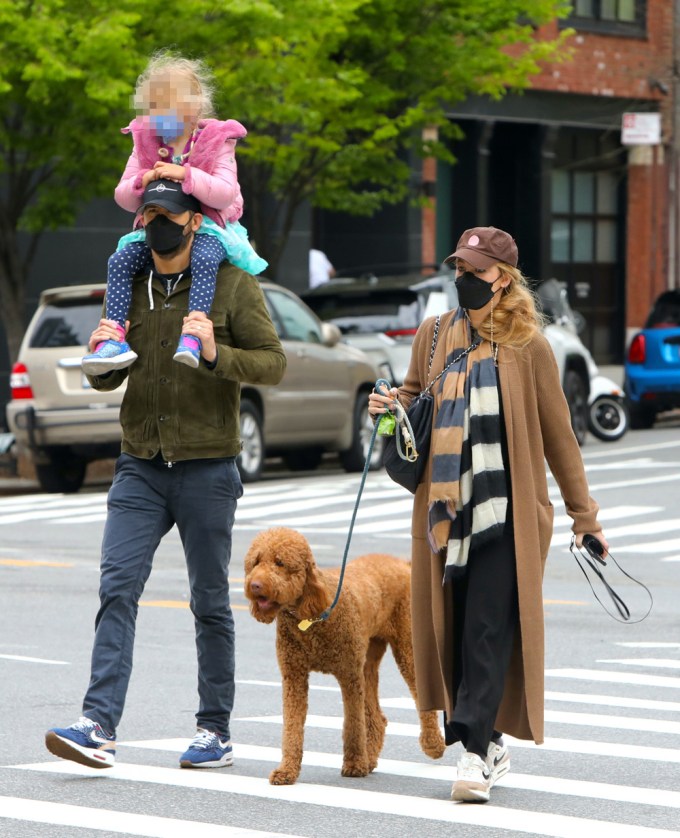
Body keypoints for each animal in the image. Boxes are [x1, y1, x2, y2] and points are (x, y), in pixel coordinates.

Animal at [244, 528, 446, 784]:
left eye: (280, 562)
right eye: (256, 562)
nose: (255, 585)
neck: (310, 617)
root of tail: (401, 563)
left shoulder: (349, 675)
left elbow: (353, 724)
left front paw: (355, 764)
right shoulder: (294, 676)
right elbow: (292, 726)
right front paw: (287, 770)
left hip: (406, 647)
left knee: (420, 697)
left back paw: (433, 745)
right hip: (368, 659)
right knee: (376, 717)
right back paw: (371, 758)